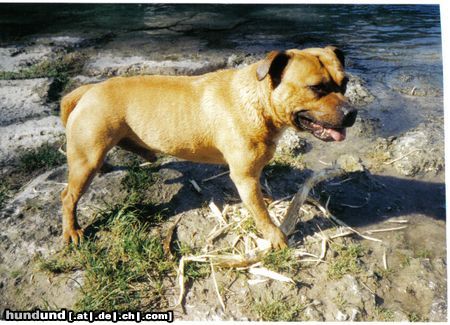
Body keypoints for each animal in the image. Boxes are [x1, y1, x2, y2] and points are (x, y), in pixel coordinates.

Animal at [59, 45, 356, 248]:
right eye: (316, 88)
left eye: (344, 83)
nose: (352, 113)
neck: (260, 100)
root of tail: (89, 89)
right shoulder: (244, 177)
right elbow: (259, 212)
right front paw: (274, 235)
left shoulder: (252, 176)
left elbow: (259, 199)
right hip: (86, 161)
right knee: (68, 197)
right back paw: (72, 230)